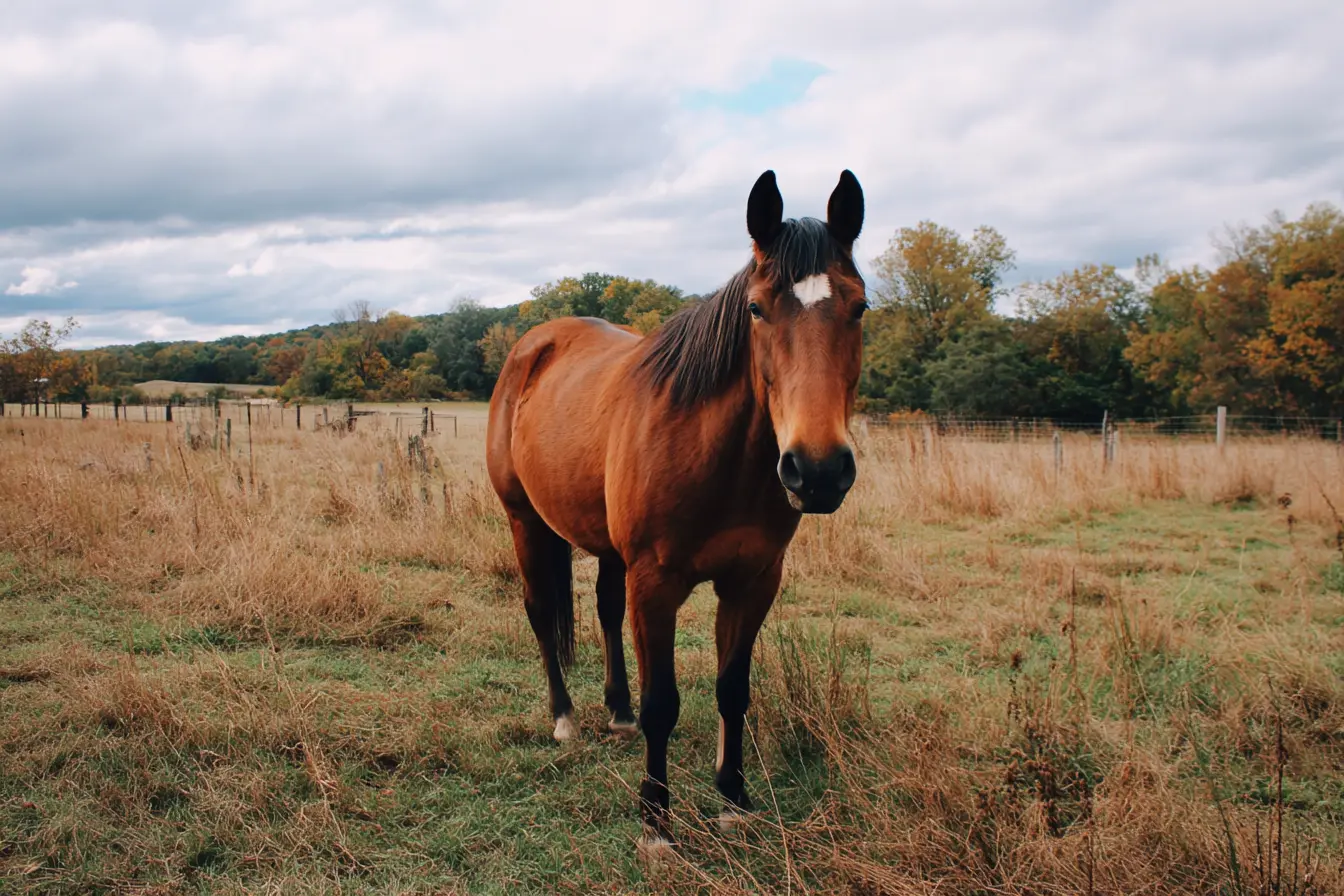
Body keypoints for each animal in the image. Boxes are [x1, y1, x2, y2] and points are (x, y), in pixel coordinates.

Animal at [485, 169, 867, 858]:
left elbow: (732, 691)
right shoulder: (656, 582)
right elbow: (664, 702)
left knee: (606, 610)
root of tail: (531, 345)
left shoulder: (752, 581)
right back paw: (565, 718)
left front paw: (734, 800)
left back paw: (617, 712)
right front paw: (656, 823)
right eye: (756, 309)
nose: (818, 469)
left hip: (607, 550)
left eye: (860, 308)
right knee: (540, 614)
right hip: (524, 523)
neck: (717, 458)